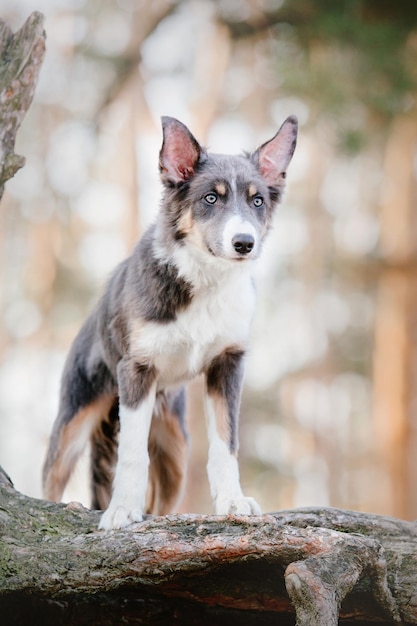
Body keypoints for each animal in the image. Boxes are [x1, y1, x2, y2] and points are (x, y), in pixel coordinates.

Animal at [41, 113, 296, 528]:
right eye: (211, 198)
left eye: (257, 200)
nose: (245, 243)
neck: (205, 280)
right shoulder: (136, 369)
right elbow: (131, 455)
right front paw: (122, 510)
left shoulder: (228, 364)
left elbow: (226, 442)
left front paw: (233, 501)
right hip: (72, 421)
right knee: (51, 481)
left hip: (175, 447)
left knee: (163, 501)